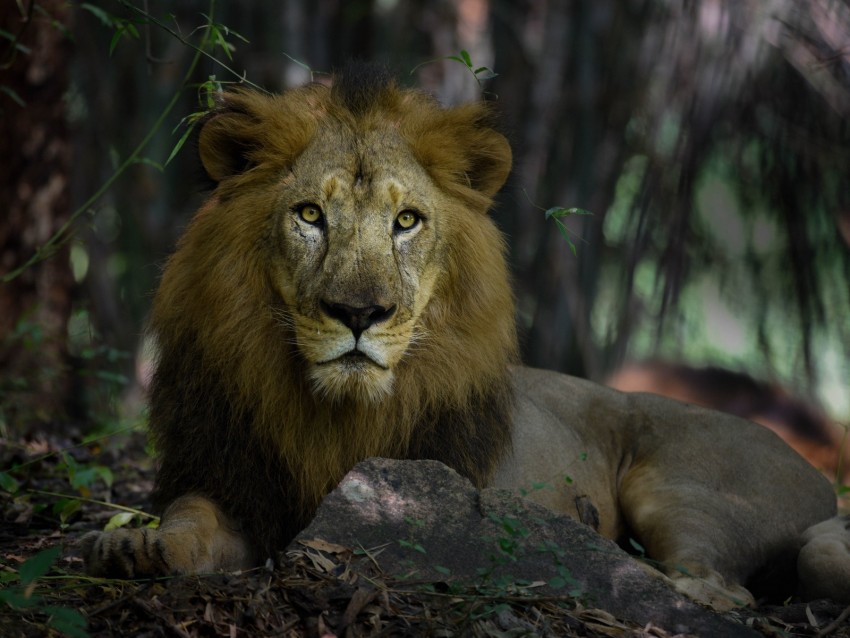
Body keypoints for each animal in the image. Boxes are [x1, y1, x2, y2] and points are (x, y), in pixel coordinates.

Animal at [81, 66, 848, 616]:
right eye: (309, 215)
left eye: (407, 222)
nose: (359, 312)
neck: (330, 414)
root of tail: (822, 480)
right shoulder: (227, 476)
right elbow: (189, 519)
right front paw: (138, 547)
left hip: (680, 486)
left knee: (712, 585)